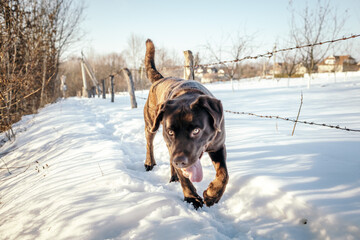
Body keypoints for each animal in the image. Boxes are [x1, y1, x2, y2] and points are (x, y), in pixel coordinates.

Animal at [143, 39, 228, 208]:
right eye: (171, 132)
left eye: (196, 130)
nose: (180, 161)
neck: (187, 94)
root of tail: (160, 78)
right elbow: (185, 178)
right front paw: (192, 198)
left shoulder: (218, 145)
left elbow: (223, 174)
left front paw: (212, 194)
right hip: (151, 124)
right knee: (150, 143)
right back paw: (150, 163)